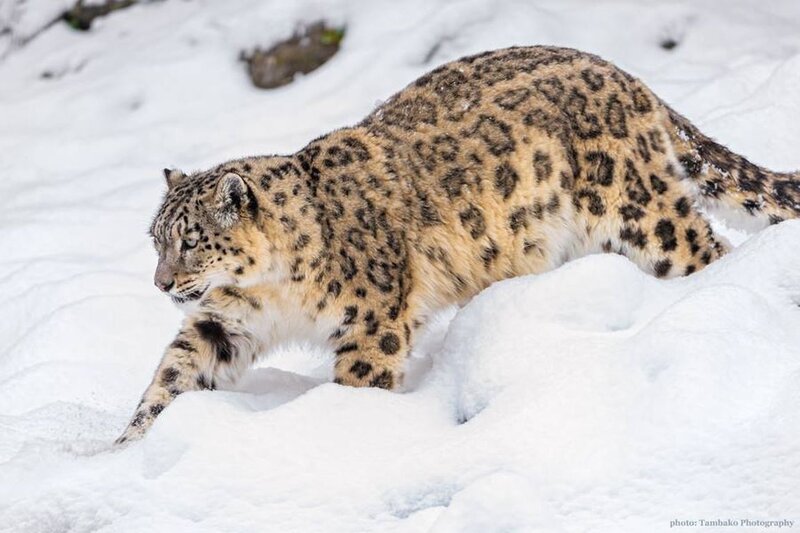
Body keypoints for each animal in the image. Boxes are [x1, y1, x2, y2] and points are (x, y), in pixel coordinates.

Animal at [116, 45, 800, 443]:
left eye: (190, 242)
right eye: (156, 241)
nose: (161, 283)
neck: (272, 290)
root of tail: (626, 76)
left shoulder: (372, 320)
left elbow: (360, 381)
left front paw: (338, 431)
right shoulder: (223, 322)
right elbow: (174, 374)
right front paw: (126, 450)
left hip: (644, 214)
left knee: (704, 250)